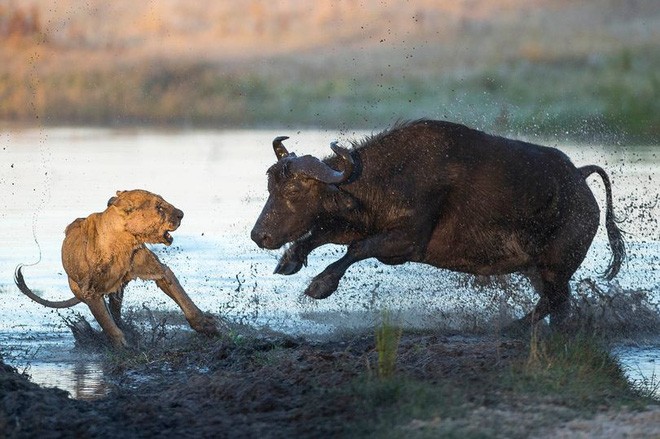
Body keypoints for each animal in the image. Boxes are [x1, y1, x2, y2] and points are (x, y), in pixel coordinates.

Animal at [250, 118, 628, 328]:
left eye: (294, 190)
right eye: (270, 185)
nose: (259, 235)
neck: (392, 176)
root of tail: (580, 178)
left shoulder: (405, 243)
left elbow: (356, 249)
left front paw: (319, 285)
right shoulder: (360, 223)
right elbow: (322, 233)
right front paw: (289, 260)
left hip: (555, 267)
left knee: (555, 303)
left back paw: (512, 329)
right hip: (536, 269)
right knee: (556, 304)